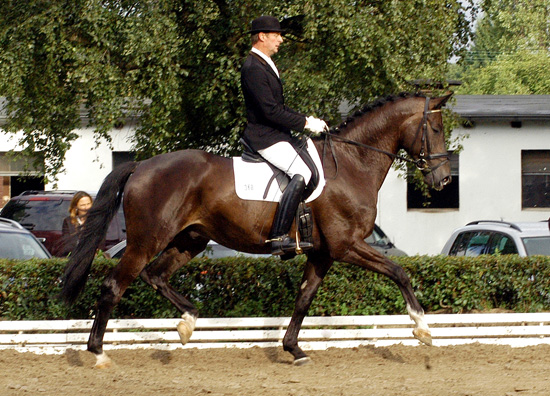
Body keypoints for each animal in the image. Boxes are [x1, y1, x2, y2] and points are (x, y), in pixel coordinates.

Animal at [62, 92, 454, 368]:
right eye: (435, 129)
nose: (444, 180)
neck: (351, 163)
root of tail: (141, 165)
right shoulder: (347, 245)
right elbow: (399, 271)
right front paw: (423, 328)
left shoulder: (323, 253)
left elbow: (304, 298)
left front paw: (294, 349)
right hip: (146, 240)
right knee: (115, 285)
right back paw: (99, 354)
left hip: (191, 239)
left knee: (156, 275)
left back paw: (188, 322)